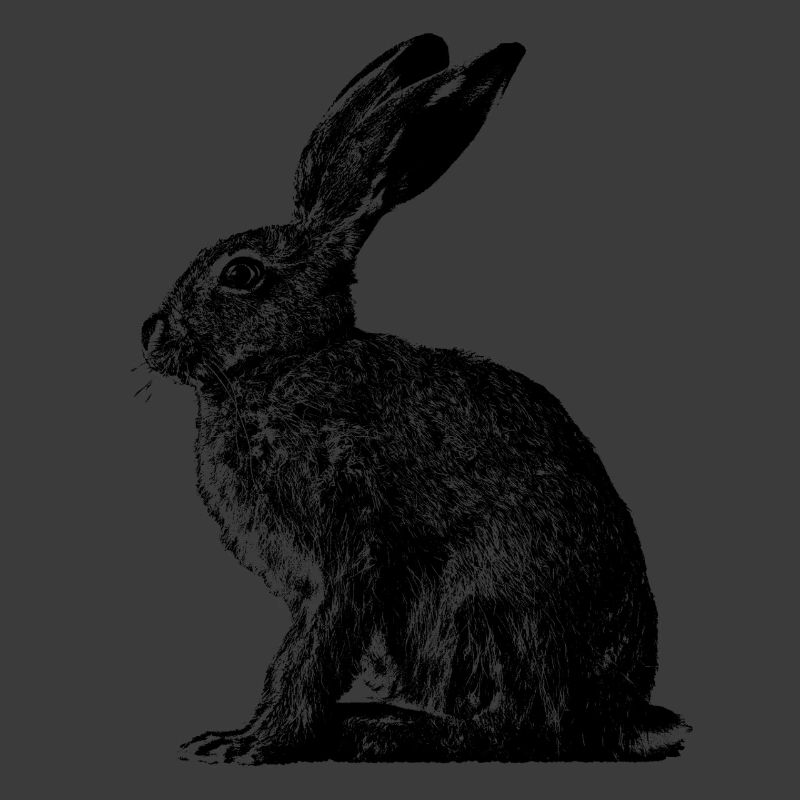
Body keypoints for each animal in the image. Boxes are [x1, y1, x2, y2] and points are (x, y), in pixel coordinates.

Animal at [141, 34, 689, 763]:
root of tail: (621, 713)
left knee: (523, 728)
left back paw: (384, 731)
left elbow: (309, 652)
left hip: (485, 607)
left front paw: (252, 742)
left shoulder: (347, 542)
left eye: (242, 274)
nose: (150, 334)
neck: (289, 362)